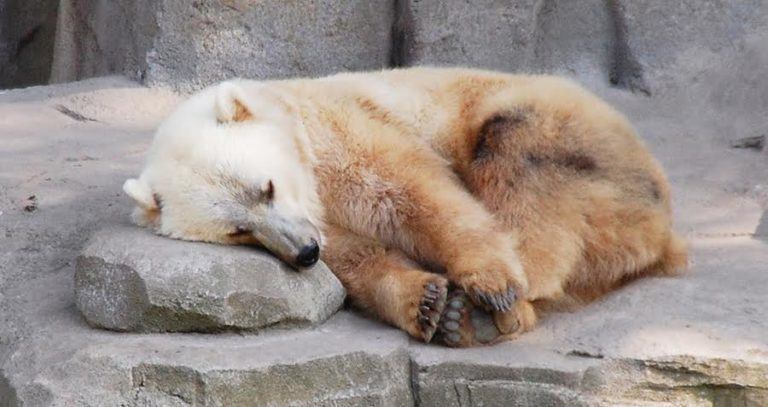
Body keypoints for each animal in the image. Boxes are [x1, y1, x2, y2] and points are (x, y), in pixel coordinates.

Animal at [123, 67, 687, 347]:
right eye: (238, 231)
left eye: (268, 187)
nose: (304, 252)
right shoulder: (321, 219)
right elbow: (355, 257)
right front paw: (427, 302)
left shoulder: (343, 128)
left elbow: (409, 192)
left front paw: (488, 284)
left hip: (576, 141)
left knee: (521, 162)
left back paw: (495, 307)